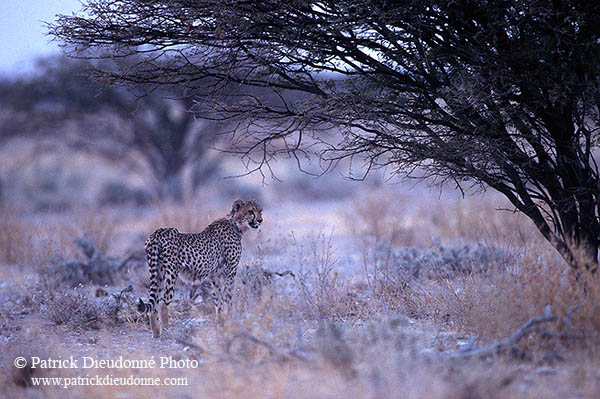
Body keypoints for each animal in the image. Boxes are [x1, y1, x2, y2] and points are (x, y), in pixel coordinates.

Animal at [141, 200, 264, 338]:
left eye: (260, 211)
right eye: (250, 211)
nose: (260, 220)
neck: (236, 223)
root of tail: (158, 233)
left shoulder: (215, 276)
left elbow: (219, 300)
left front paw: (221, 324)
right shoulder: (230, 272)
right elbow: (228, 298)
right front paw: (232, 320)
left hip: (158, 273)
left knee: (154, 304)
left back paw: (156, 333)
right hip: (171, 273)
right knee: (163, 302)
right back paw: (166, 331)